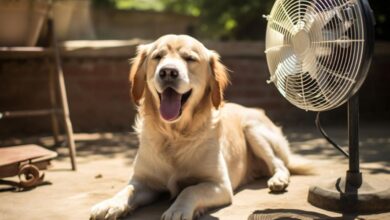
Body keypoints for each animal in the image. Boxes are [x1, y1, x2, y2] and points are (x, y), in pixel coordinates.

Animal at [90, 34, 310, 220]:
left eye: (190, 58)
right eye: (157, 56)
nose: (168, 72)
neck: (174, 134)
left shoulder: (220, 184)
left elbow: (190, 189)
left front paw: (177, 210)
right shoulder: (143, 181)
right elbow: (127, 190)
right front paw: (109, 204)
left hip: (253, 129)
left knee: (280, 163)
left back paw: (278, 180)